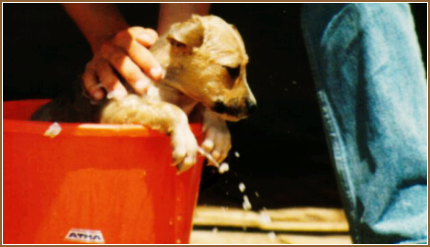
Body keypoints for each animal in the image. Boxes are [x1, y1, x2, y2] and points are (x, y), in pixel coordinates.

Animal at [32, 14, 258, 174]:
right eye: (232, 70)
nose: (253, 107)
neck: (175, 89)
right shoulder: (117, 108)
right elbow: (172, 109)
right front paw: (186, 141)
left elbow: (204, 108)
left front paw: (219, 131)